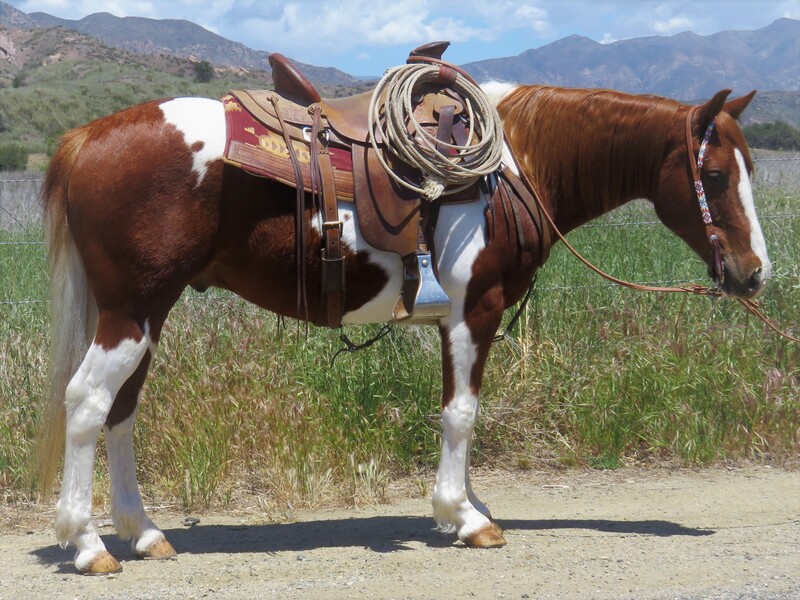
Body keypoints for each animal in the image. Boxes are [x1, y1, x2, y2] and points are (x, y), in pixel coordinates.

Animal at [37, 81, 769, 573]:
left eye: (749, 170)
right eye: (712, 174)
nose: (754, 274)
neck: (512, 165)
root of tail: (86, 139)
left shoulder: (458, 319)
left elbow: (457, 411)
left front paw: (465, 508)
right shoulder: (476, 309)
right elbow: (462, 413)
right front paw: (465, 518)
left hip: (147, 315)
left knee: (122, 410)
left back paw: (144, 532)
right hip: (130, 313)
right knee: (87, 404)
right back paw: (89, 544)